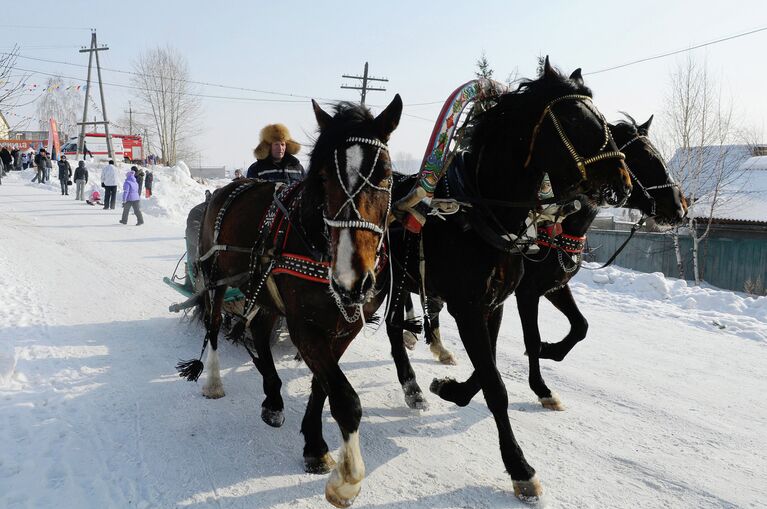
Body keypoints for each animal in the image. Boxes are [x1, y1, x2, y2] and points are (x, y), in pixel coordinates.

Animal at [182, 96, 402, 508]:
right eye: (324, 177)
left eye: (384, 174)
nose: (353, 281)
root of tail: (229, 187)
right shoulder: (305, 326)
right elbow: (346, 399)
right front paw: (346, 479)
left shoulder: (344, 328)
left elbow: (322, 386)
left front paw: (314, 444)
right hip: (216, 279)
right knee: (216, 327)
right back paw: (215, 381)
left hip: (263, 289)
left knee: (257, 330)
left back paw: (272, 398)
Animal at [382, 60, 632, 500]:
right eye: (572, 119)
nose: (623, 180)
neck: (478, 213)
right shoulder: (467, 308)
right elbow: (496, 386)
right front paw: (520, 468)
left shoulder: (494, 305)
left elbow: (490, 370)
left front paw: (450, 388)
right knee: (380, 327)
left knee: (396, 326)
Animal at [426, 112, 688, 412]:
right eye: (643, 158)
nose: (680, 208)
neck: (555, 225)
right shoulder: (526, 293)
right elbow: (530, 339)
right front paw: (541, 387)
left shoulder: (554, 286)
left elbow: (580, 326)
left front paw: (550, 351)